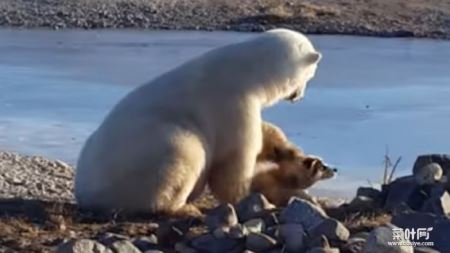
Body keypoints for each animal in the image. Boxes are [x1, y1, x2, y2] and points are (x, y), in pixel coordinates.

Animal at [74, 28, 320, 216]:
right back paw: (184, 208)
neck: (249, 70)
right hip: (146, 156)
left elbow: (264, 133)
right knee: (186, 153)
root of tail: (85, 193)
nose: (299, 97)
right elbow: (234, 158)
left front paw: (293, 153)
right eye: (310, 75)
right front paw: (251, 198)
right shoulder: (232, 102)